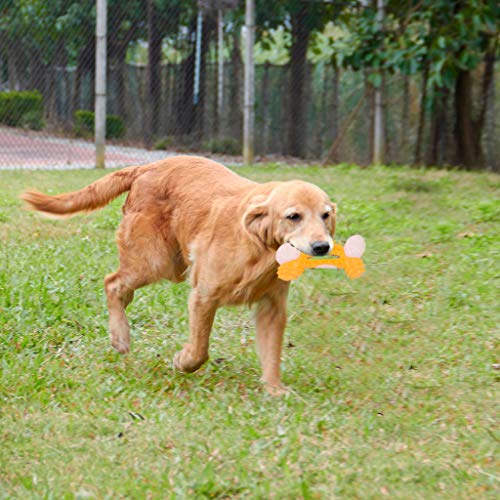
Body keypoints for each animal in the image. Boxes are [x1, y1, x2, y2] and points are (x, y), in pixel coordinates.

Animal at [22, 156, 336, 394]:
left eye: (326, 215)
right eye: (293, 216)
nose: (323, 246)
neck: (260, 245)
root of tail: (146, 167)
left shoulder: (272, 307)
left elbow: (271, 353)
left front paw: (274, 390)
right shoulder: (203, 296)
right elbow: (200, 350)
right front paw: (182, 361)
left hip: (168, 264)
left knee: (121, 289)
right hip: (154, 261)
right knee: (112, 283)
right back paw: (120, 336)